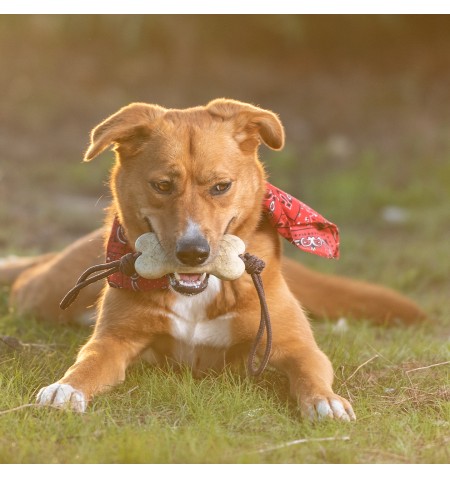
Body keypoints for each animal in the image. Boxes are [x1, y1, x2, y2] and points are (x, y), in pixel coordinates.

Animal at [0, 100, 428, 418]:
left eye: (221, 187)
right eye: (162, 185)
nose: (193, 252)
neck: (198, 293)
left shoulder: (294, 345)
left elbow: (311, 373)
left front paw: (326, 402)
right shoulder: (114, 340)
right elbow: (87, 362)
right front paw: (65, 388)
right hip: (43, 295)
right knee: (26, 278)